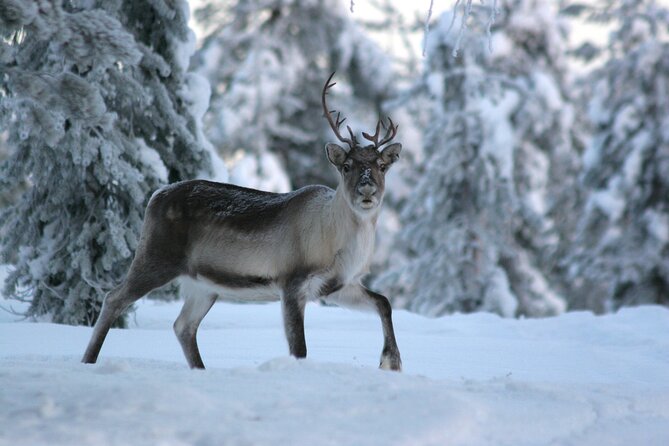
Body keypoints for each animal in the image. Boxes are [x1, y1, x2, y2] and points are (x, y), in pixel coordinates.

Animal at [81, 72, 403, 371]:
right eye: (347, 166)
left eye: (381, 166)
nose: (367, 189)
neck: (339, 245)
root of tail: (155, 196)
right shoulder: (292, 282)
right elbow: (299, 348)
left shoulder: (337, 286)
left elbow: (383, 302)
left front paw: (392, 362)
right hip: (156, 256)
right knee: (114, 298)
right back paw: (88, 360)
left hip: (202, 284)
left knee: (183, 325)